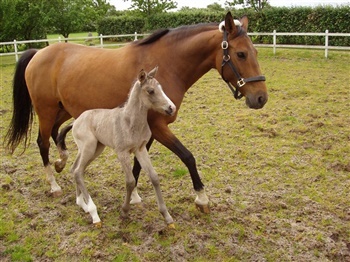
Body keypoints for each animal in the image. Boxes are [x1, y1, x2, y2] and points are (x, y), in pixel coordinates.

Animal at [5, 12, 266, 213]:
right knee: (42, 142)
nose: (261, 98)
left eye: (255, 52)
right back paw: (54, 185)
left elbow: (139, 165)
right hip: (46, 110)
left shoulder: (146, 132)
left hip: (65, 110)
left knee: (56, 134)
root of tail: (39, 52)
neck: (168, 64)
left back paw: (62, 161)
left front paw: (136, 197)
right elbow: (187, 156)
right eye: (241, 54)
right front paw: (202, 198)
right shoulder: (159, 127)